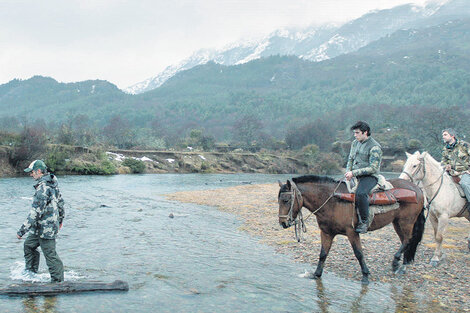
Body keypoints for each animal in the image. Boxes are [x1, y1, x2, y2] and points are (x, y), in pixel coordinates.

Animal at [278, 174, 428, 284]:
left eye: (286, 200)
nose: (283, 223)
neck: (332, 201)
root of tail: (418, 189)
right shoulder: (327, 233)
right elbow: (323, 254)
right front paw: (316, 274)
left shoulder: (352, 232)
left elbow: (359, 253)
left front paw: (365, 275)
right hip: (397, 222)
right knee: (405, 241)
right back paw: (402, 265)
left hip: (406, 222)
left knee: (408, 240)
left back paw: (397, 264)